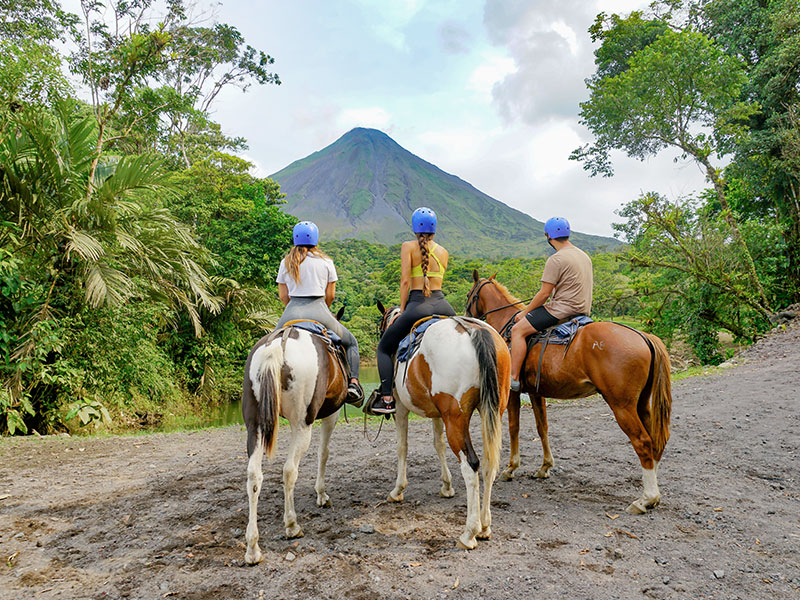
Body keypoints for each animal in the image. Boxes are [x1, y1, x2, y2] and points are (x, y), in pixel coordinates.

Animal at [239, 316, 348, 564]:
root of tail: (279, 344)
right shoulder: (331, 414)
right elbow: (323, 453)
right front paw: (321, 495)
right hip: (301, 424)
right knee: (289, 470)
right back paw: (291, 525)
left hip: (255, 426)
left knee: (254, 476)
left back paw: (252, 547)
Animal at [376, 302, 512, 552]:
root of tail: (475, 330)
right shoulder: (437, 414)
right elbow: (438, 444)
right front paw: (446, 486)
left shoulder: (400, 408)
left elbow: (402, 447)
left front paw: (398, 490)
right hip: (492, 412)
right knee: (489, 465)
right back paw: (485, 526)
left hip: (455, 418)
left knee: (471, 465)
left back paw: (470, 532)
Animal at [466, 270, 672, 512]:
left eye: (469, 295)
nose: (466, 315)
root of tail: (643, 335)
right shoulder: (536, 392)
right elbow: (542, 427)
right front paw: (545, 467)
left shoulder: (513, 393)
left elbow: (514, 428)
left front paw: (510, 468)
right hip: (641, 404)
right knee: (654, 441)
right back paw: (653, 493)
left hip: (622, 406)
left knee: (643, 442)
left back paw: (647, 498)